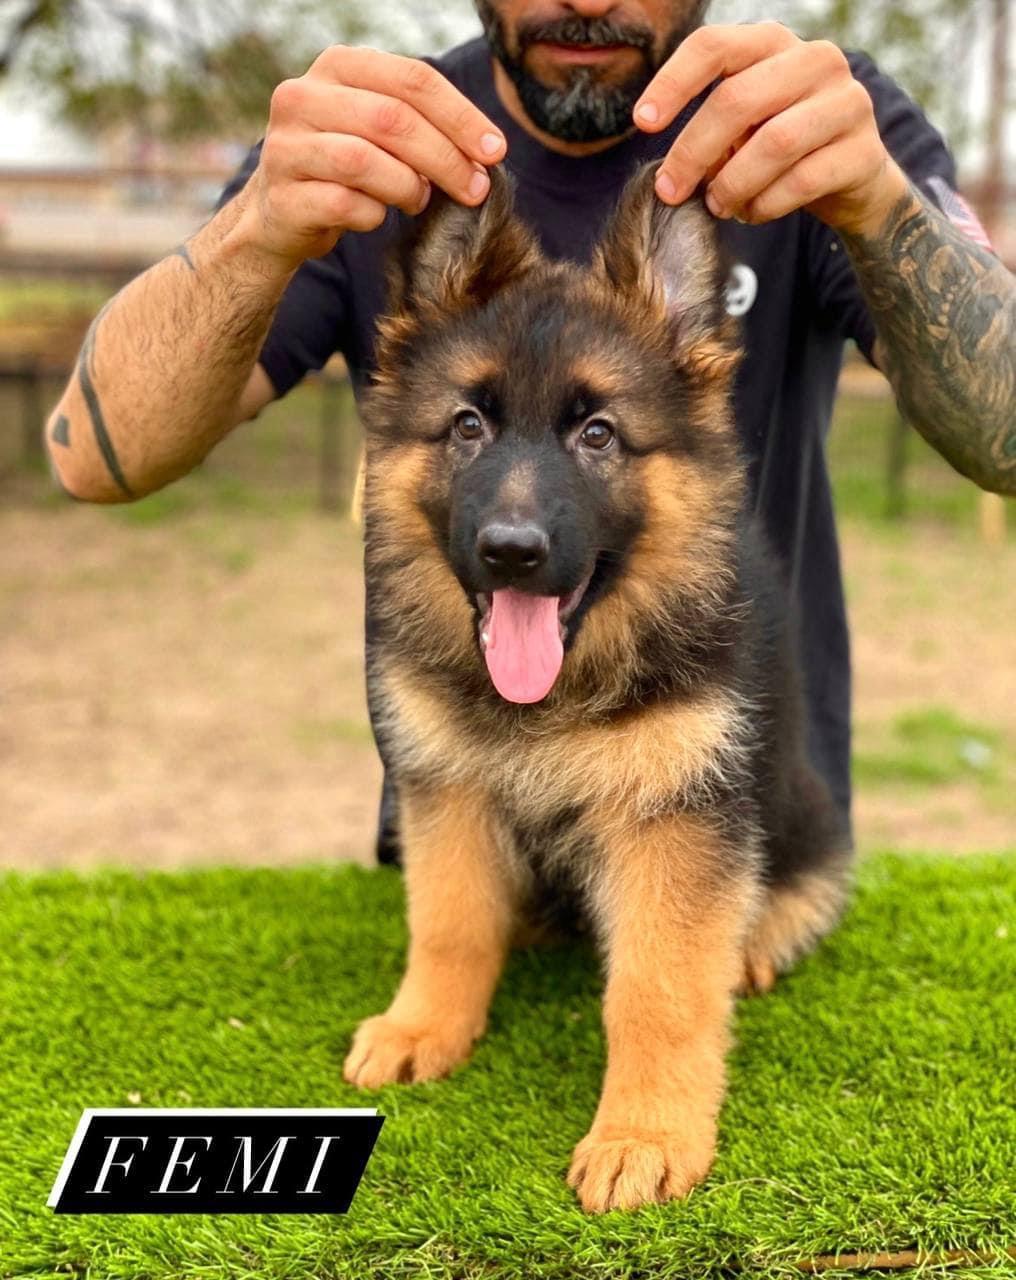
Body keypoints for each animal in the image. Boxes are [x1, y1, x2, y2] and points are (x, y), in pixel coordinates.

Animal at [343, 165, 851, 1213]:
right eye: (468, 426)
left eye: (599, 434)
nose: (511, 551)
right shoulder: (446, 790)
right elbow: (449, 922)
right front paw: (425, 1026)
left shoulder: (676, 822)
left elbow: (658, 990)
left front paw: (643, 1134)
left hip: (803, 817)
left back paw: (756, 942)